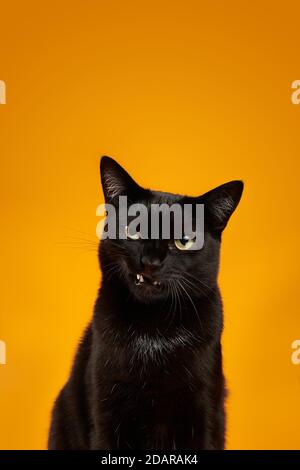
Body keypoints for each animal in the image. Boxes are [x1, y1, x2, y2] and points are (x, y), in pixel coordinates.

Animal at [48, 156, 243, 450]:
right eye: (134, 230)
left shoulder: (204, 405)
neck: (154, 328)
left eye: (183, 241)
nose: (150, 262)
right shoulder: (105, 403)